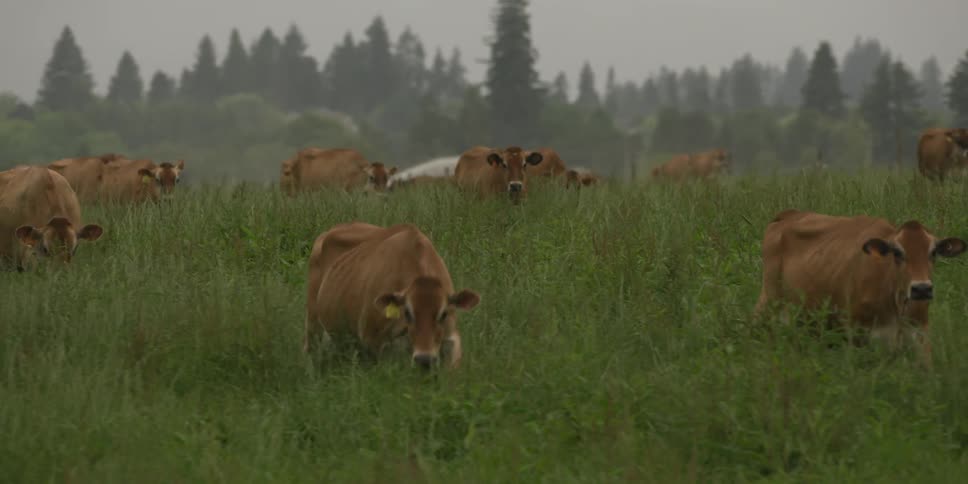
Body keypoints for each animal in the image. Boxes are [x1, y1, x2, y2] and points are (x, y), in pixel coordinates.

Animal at [304, 223, 480, 369]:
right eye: (407, 312)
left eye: (443, 314)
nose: (424, 359)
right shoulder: (371, 340)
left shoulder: (452, 337)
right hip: (313, 322)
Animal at [755, 209, 966, 367]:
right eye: (897, 252)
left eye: (934, 252)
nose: (921, 289)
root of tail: (789, 214)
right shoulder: (858, 334)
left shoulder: (920, 334)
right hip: (768, 305)